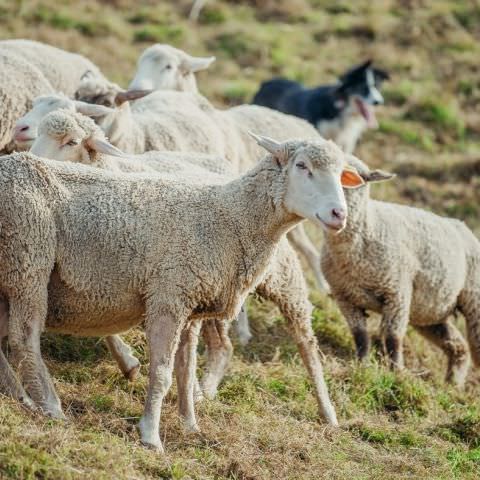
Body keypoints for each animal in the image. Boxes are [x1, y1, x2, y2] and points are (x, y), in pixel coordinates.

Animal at [0, 134, 358, 450]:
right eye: (302, 165)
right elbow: (162, 373)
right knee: (24, 339)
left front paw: (190, 425)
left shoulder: (192, 305)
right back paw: (50, 407)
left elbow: (186, 371)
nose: (339, 214)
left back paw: (21, 397)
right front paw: (150, 436)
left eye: (341, 174)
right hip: (29, 257)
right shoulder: (169, 296)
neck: (231, 218)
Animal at [318, 158, 480, 386]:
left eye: (350, 177)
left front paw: (396, 372)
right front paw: (362, 365)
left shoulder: (397, 293)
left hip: (473, 299)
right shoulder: (345, 297)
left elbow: (393, 337)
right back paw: (452, 384)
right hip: (428, 313)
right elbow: (360, 336)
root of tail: (462, 225)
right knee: (458, 345)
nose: (335, 211)